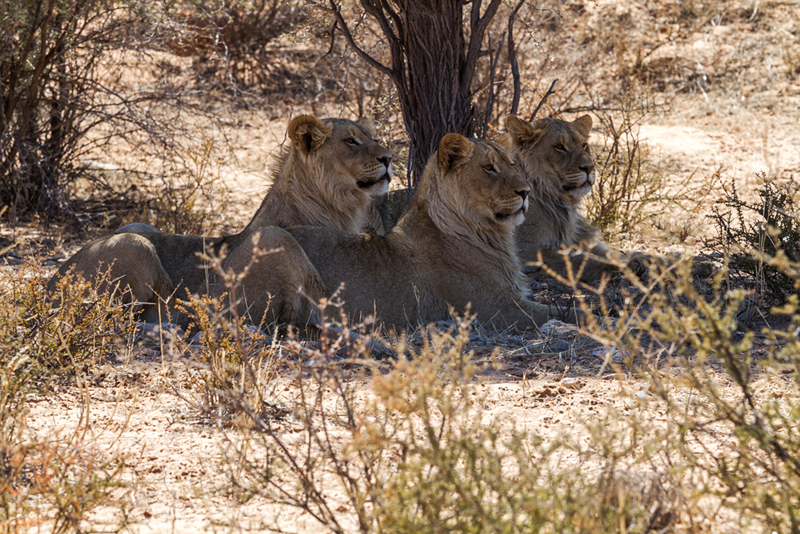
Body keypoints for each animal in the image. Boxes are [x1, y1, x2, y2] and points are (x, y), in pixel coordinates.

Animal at [48, 116, 392, 326]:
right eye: (351, 141)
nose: (389, 158)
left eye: (373, 138)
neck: (334, 207)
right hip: (138, 246)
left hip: (136, 226)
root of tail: (51, 281)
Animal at [244, 132, 564, 332]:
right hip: (274, 237)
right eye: (489, 168)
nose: (526, 191)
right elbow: (565, 310)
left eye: (512, 164)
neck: (491, 234)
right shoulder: (497, 310)